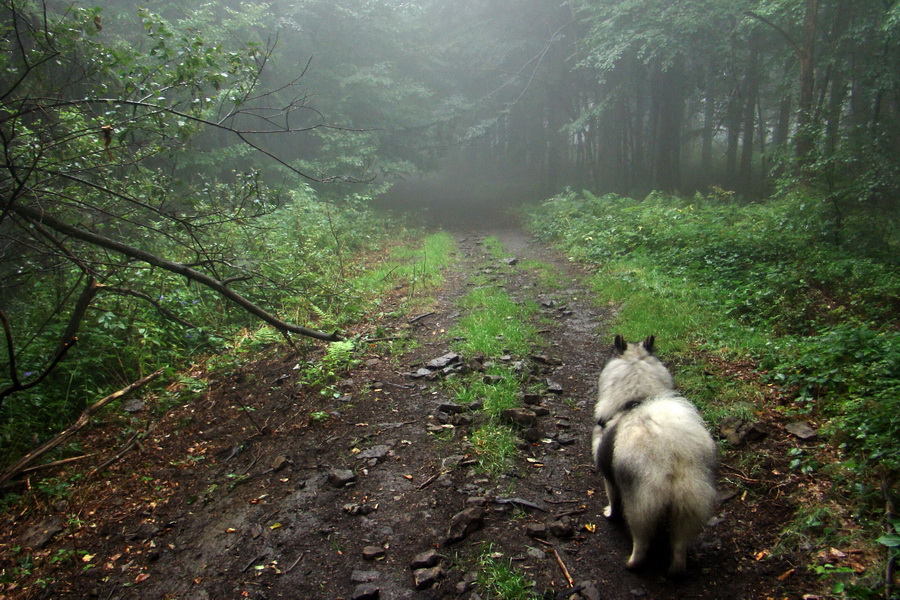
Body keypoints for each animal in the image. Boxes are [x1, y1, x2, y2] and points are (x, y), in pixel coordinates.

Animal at [592, 336, 716, 576]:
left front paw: (609, 513)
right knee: (679, 545)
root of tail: (671, 452)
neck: (636, 400)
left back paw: (632, 564)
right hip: (688, 504)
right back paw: (676, 571)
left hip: (641, 504)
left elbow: (612, 499)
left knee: (641, 542)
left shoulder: (607, 474)